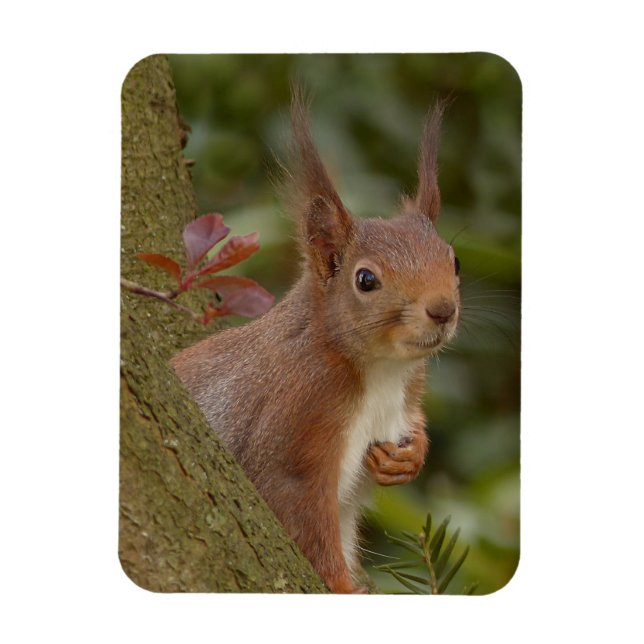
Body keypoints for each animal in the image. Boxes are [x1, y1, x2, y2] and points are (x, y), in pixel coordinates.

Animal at [171, 93, 460, 593]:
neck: (382, 370)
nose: (443, 309)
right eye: (366, 279)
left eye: (455, 260)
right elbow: (299, 516)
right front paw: (343, 589)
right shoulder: (298, 418)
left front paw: (408, 457)